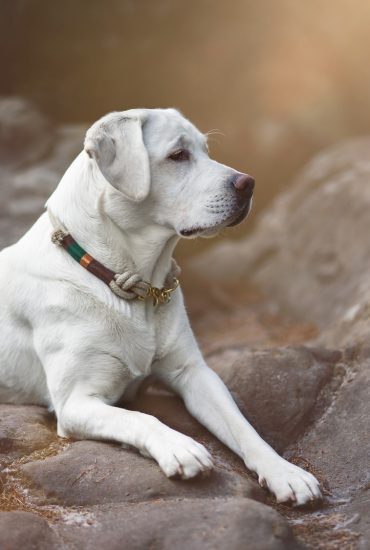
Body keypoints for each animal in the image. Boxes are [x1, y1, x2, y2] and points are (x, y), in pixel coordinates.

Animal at [0, 106, 320, 504]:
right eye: (178, 155)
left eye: (206, 150)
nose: (249, 183)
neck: (134, 286)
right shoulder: (75, 401)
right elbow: (140, 417)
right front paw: (180, 447)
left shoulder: (195, 373)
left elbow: (243, 427)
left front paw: (284, 472)